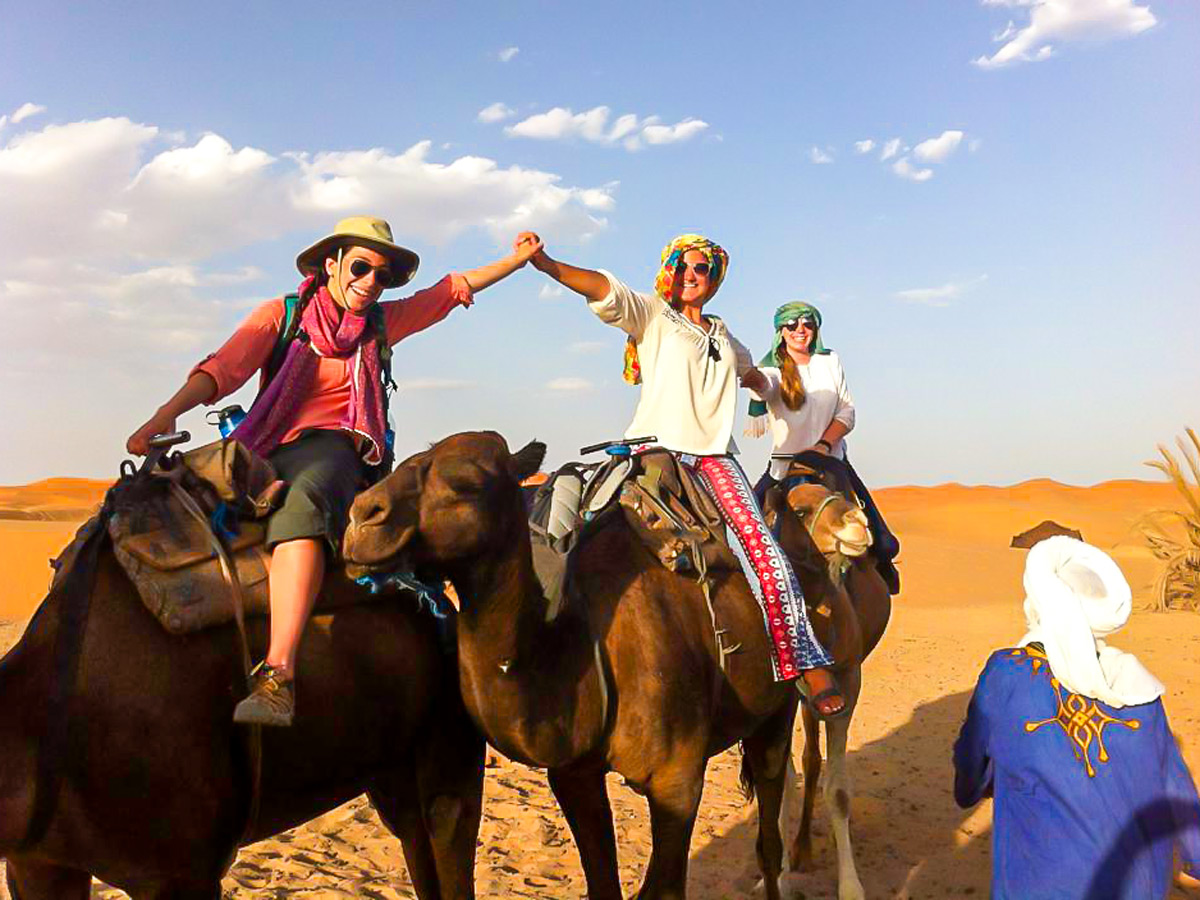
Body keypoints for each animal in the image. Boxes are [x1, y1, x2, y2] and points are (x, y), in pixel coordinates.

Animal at [343, 434, 888, 897]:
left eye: (467, 482)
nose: (360, 518)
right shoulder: (574, 776)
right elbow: (603, 884)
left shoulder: (676, 781)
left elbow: (664, 889)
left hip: (776, 710)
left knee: (772, 828)